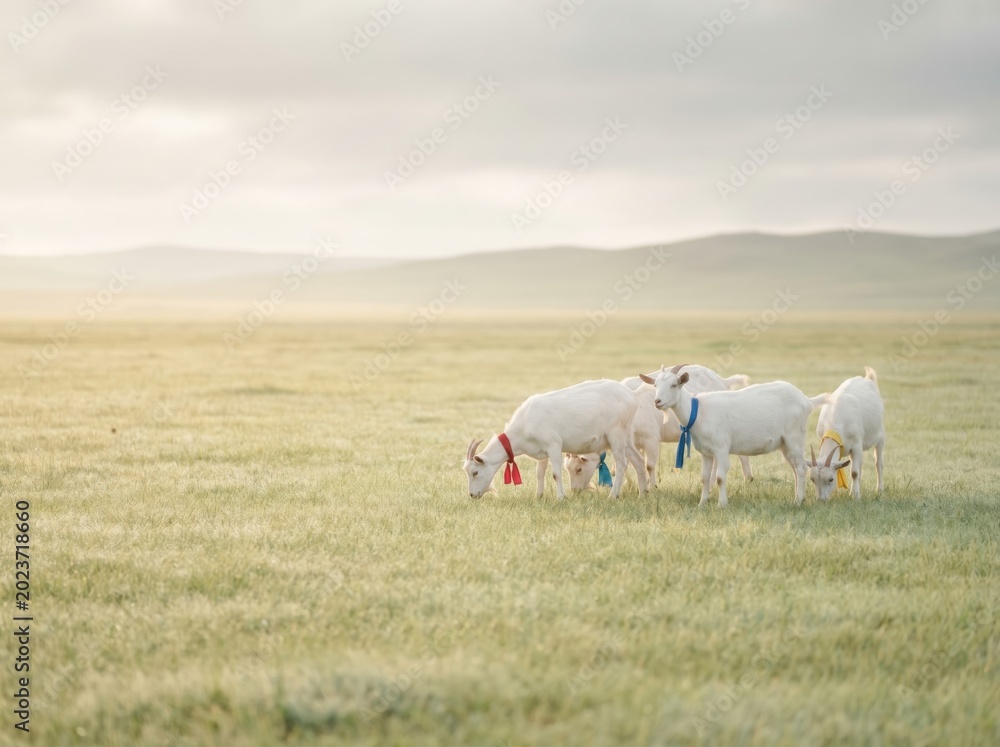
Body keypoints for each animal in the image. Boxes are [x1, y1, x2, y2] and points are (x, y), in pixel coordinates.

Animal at [464, 379, 647, 500]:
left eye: (475, 472)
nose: (472, 495)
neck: (523, 426)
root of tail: (632, 395)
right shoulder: (541, 451)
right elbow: (539, 473)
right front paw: (538, 496)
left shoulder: (553, 444)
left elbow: (555, 474)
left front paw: (561, 498)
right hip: (626, 437)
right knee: (638, 461)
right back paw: (643, 494)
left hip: (616, 435)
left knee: (622, 464)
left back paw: (613, 495)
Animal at [641, 364, 829, 506]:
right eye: (655, 385)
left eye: (674, 385)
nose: (657, 402)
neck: (699, 411)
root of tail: (806, 401)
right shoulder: (706, 452)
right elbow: (705, 478)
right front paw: (702, 503)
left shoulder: (721, 448)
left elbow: (719, 477)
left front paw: (721, 504)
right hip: (784, 443)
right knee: (795, 468)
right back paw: (798, 498)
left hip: (794, 437)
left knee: (801, 468)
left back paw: (798, 501)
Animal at [810, 366, 885, 501]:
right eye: (812, 479)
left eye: (831, 479)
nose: (821, 500)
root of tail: (867, 379)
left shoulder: (856, 445)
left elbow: (854, 472)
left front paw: (856, 497)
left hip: (880, 435)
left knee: (878, 463)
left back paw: (879, 490)